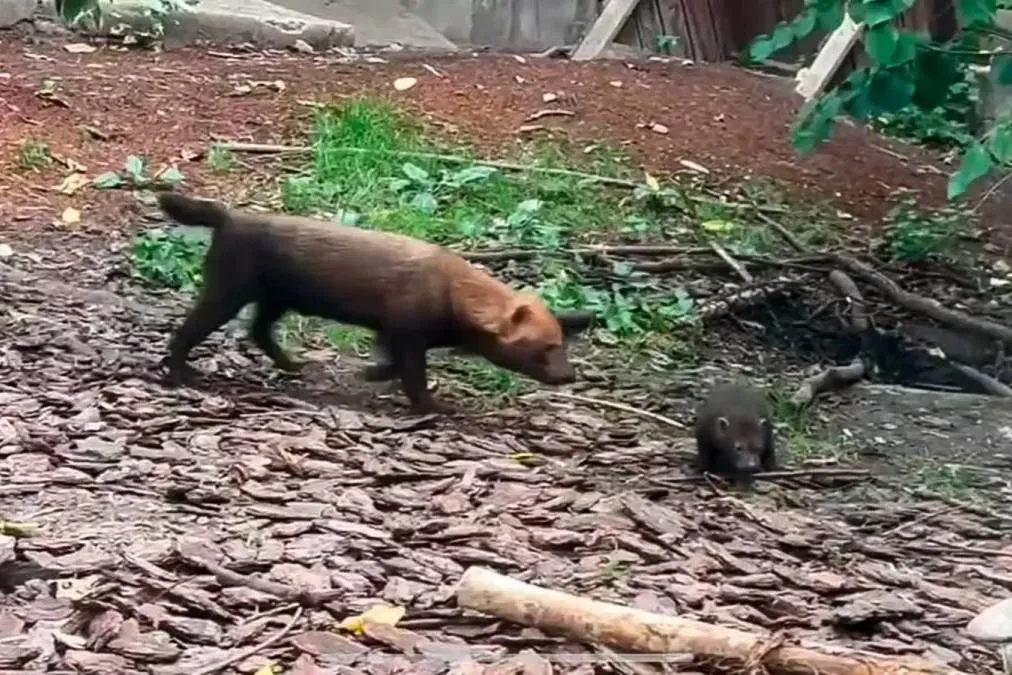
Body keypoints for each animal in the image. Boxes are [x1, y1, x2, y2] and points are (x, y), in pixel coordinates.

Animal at [156, 190, 586, 412]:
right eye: (546, 347)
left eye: (561, 341)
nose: (568, 375)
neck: (452, 291)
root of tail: (229, 217)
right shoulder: (406, 328)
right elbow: (412, 374)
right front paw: (435, 405)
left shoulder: (396, 331)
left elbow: (394, 363)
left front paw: (371, 373)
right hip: (228, 289)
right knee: (190, 330)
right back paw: (179, 374)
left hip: (276, 297)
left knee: (258, 330)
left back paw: (293, 365)